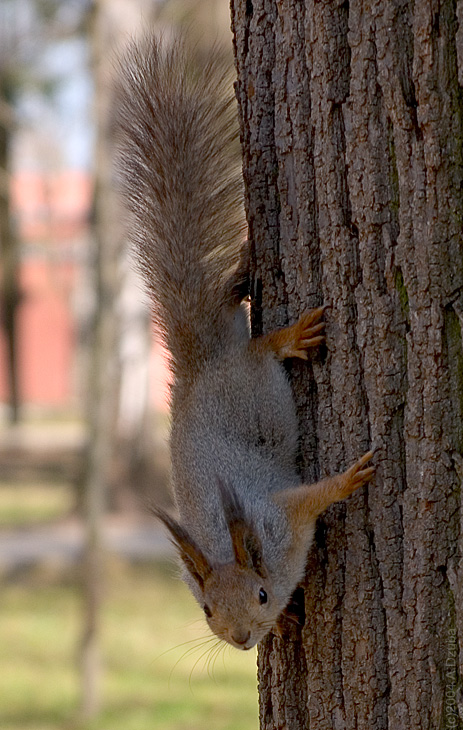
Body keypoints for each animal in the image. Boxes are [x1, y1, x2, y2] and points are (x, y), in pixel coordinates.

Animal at [115, 34, 374, 648]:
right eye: (207, 610)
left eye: (258, 593)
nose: (241, 639)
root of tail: (202, 368)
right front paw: (290, 619)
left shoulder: (279, 520)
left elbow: (310, 499)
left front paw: (347, 479)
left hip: (253, 382)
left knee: (260, 350)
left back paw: (289, 336)